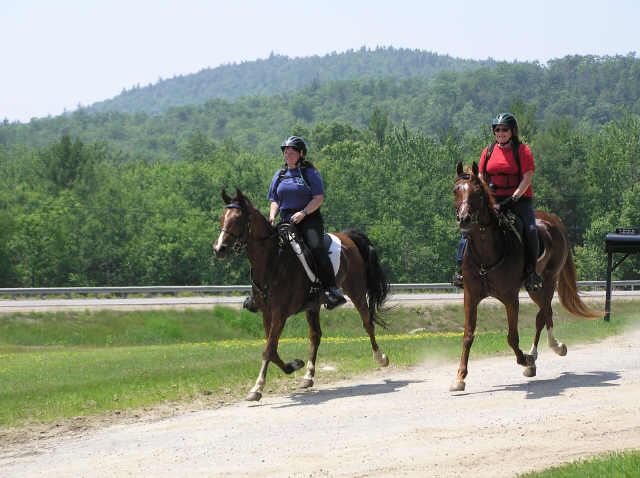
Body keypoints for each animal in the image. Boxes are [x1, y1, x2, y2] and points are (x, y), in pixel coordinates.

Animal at [214, 189, 390, 402]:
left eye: (238, 220)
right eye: (222, 218)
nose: (219, 249)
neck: (272, 262)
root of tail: (347, 237)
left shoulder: (280, 314)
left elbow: (268, 350)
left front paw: (256, 388)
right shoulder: (267, 314)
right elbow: (272, 349)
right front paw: (293, 365)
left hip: (356, 290)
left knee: (367, 323)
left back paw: (381, 358)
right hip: (313, 306)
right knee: (315, 336)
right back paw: (308, 376)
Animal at [450, 162, 600, 390]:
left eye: (477, 192)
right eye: (455, 190)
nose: (464, 219)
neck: (487, 251)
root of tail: (554, 220)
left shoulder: (511, 298)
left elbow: (512, 337)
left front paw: (525, 360)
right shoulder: (471, 296)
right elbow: (468, 335)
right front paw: (459, 377)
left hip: (548, 282)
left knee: (542, 316)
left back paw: (541, 353)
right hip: (534, 290)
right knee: (546, 313)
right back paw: (548, 350)